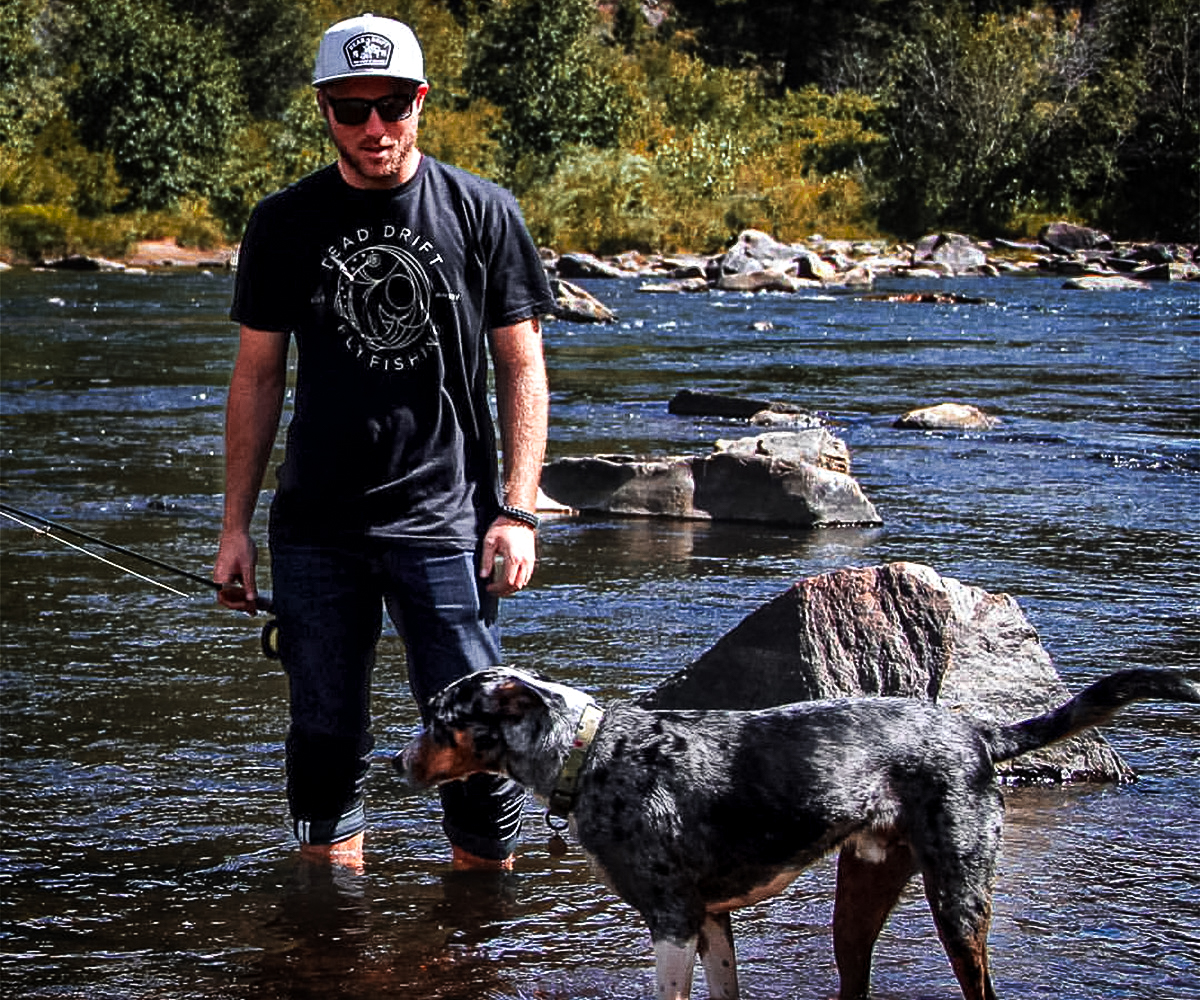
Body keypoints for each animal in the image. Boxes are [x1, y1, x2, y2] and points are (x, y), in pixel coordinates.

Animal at [398, 662, 1195, 998]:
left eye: (438, 719)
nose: (398, 760)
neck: (592, 753)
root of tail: (977, 733)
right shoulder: (710, 922)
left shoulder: (672, 921)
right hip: (860, 901)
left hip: (958, 902)